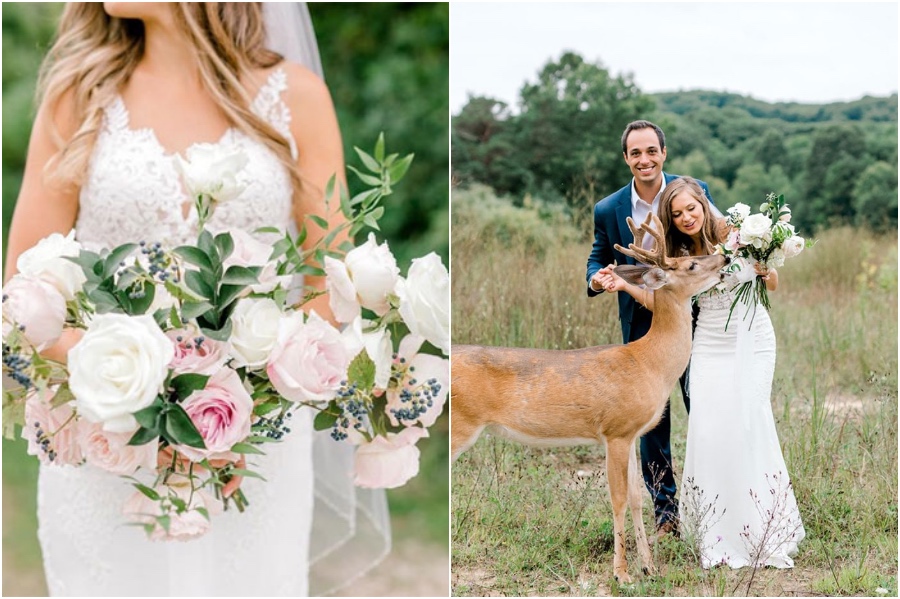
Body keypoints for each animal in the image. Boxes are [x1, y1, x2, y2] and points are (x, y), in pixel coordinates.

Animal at [454, 213, 728, 584]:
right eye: (691, 264)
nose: (725, 259)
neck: (649, 362)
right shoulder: (615, 430)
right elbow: (618, 499)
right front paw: (622, 574)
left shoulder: (632, 434)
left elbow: (637, 498)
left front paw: (649, 567)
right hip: (459, 425)